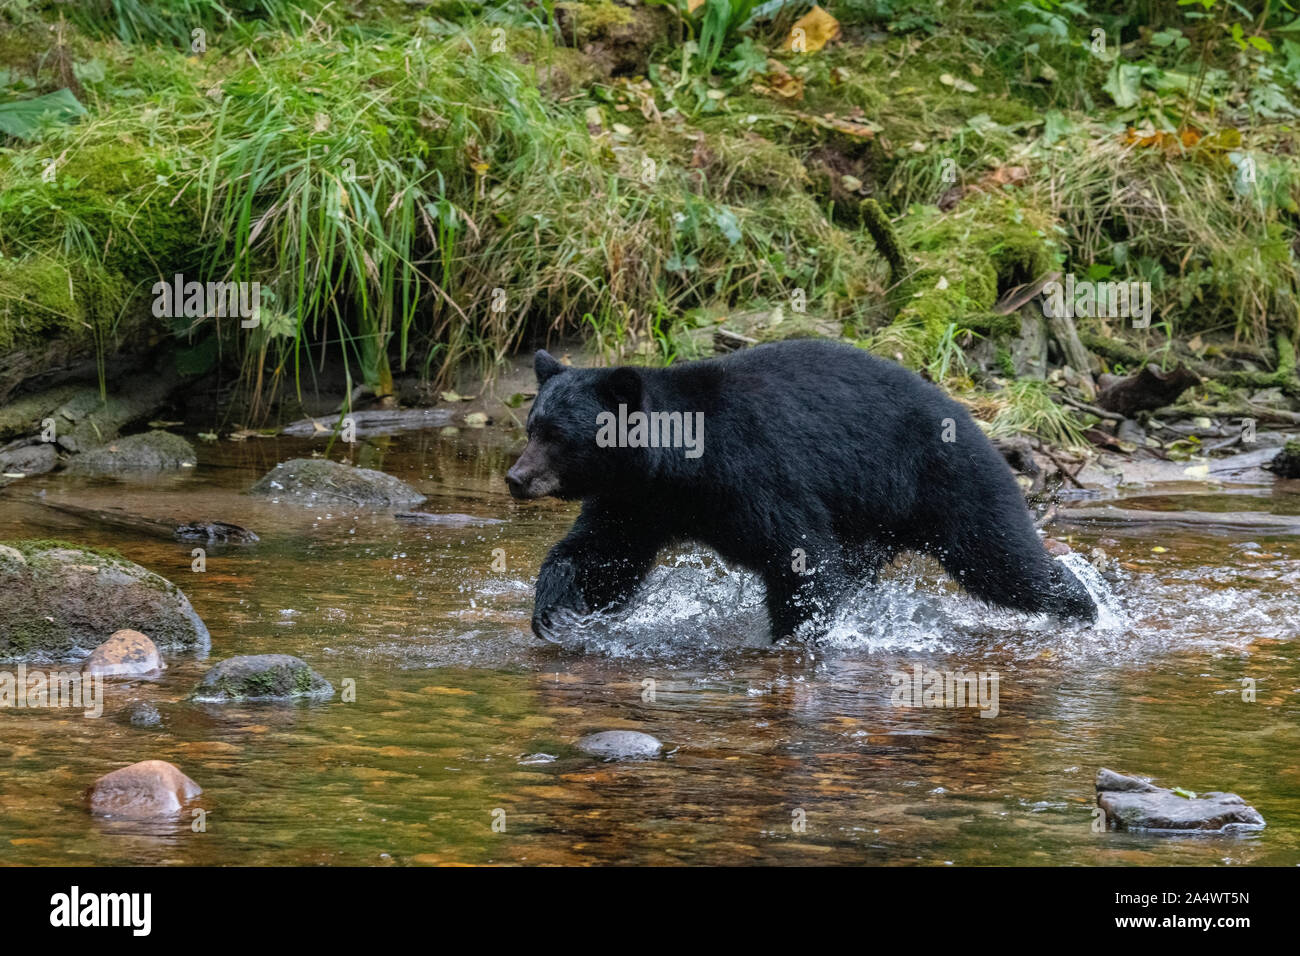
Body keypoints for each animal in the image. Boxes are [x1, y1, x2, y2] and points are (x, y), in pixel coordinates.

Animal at [506, 338, 1097, 642]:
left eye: (558, 436)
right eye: (533, 426)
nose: (515, 478)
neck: (680, 466)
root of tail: (974, 420)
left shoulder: (756, 474)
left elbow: (798, 555)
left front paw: (793, 637)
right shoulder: (638, 501)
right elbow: (603, 552)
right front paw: (555, 609)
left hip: (947, 480)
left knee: (1000, 558)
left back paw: (1083, 606)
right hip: (873, 519)